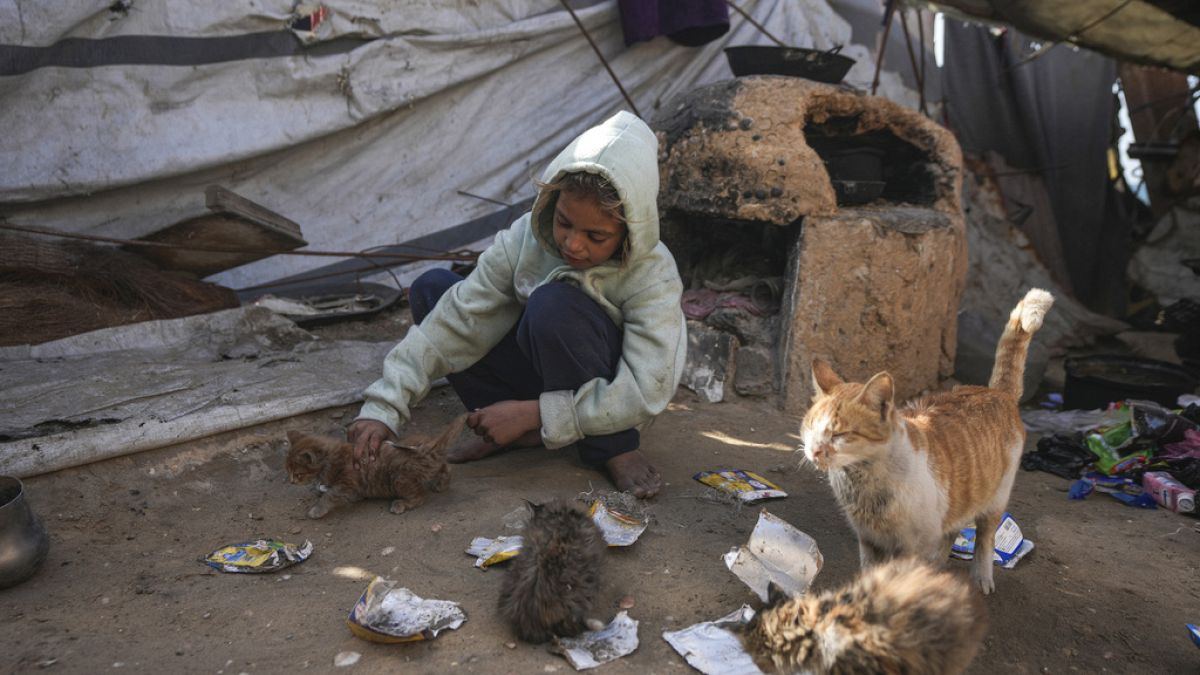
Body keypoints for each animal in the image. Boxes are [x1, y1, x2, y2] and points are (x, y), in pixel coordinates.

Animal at [283, 413, 465, 516]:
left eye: (298, 474)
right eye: (288, 471)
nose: (291, 481)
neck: (330, 458)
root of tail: (429, 446)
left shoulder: (347, 482)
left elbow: (331, 495)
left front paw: (317, 509)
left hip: (399, 477)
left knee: (419, 496)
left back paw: (401, 503)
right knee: (446, 466)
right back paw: (441, 484)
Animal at [801, 285, 1056, 590]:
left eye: (839, 433)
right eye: (810, 428)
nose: (814, 451)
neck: (865, 483)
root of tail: (995, 391)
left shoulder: (912, 545)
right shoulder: (869, 540)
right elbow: (870, 572)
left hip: (995, 499)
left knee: (985, 538)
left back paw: (980, 576)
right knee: (952, 529)